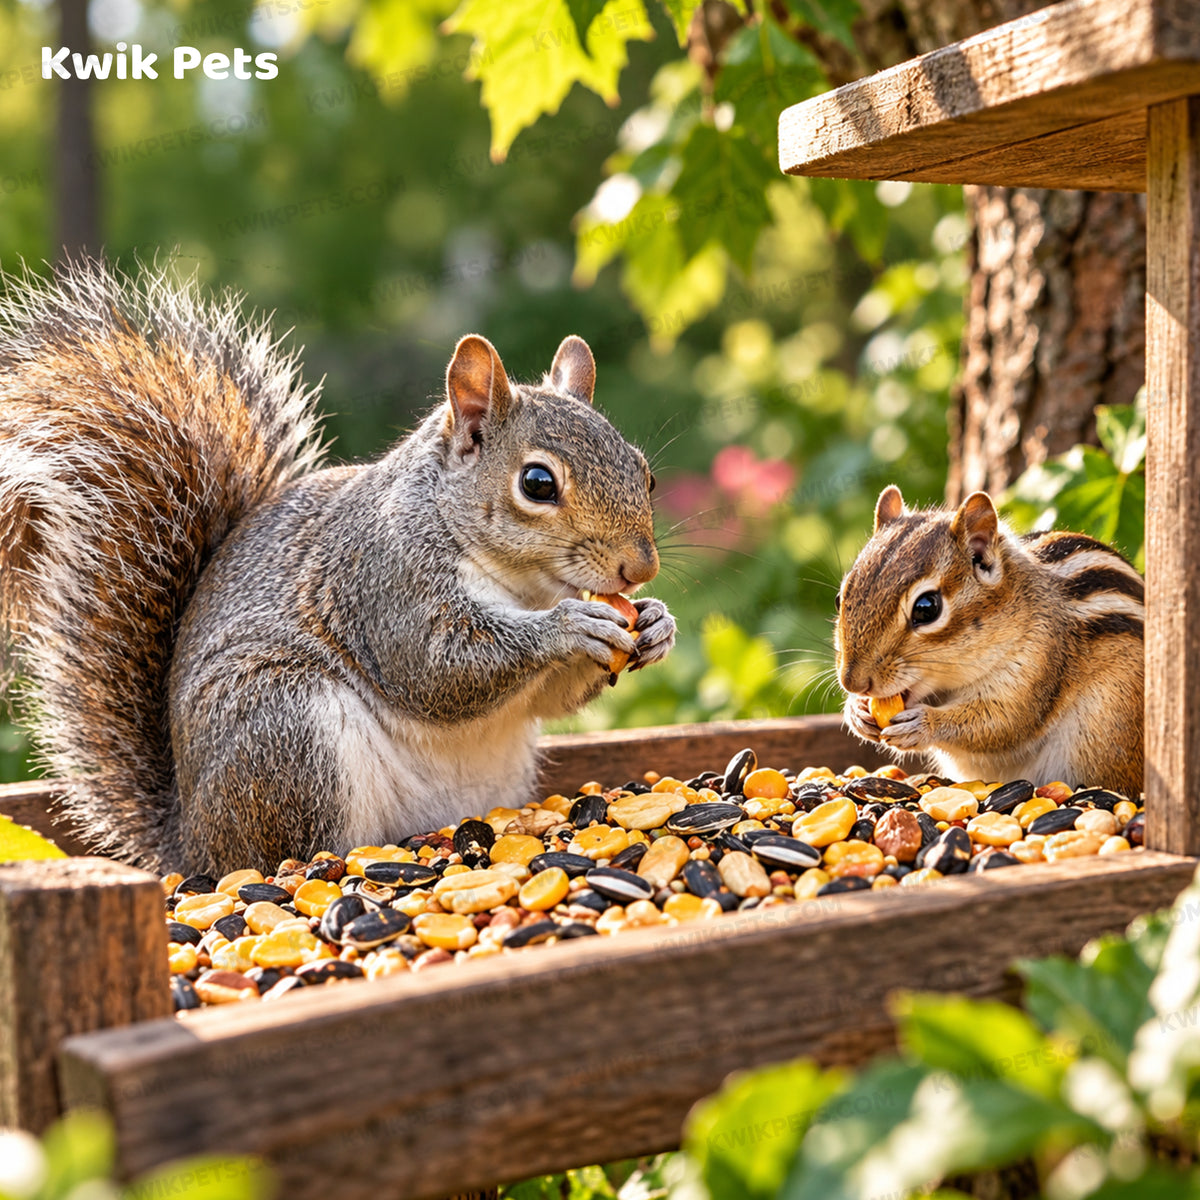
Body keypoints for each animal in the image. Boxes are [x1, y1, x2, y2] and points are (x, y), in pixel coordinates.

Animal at [0, 259, 676, 875]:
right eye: (537, 483)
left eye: (644, 471)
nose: (639, 570)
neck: (525, 586)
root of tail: (192, 845)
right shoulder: (383, 581)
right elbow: (435, 666)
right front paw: (568, 628)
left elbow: (549, 700)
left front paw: (656, 623)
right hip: (286, 729)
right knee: (287, 853)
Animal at [835, 484, 1144, 794]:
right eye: (840, 598)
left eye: (926, 608)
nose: (853, 683)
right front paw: (856, 712)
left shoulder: (1038, 666)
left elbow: (1001, 723)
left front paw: (924, 724)